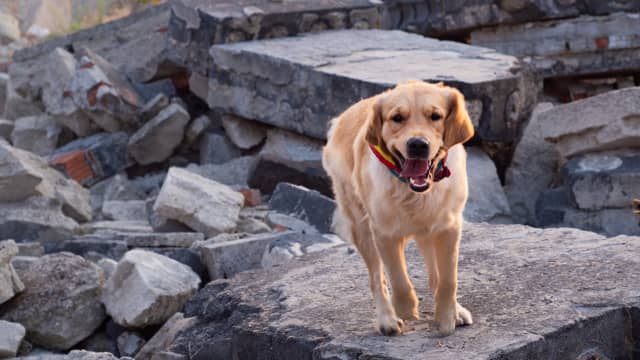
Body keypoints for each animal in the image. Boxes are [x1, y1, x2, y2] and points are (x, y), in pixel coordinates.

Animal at [322, 80, 472, 336]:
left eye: (436, 116)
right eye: (397, 118)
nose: (418, 144)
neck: (413, 192)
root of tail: (340, 119)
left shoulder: (449, 226)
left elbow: (448, 279)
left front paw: (447, 316)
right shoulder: (383, 232)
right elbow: (397, 278)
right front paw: (405, 308)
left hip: (428, 231)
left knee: (435, 274)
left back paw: (457, 309)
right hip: (361, 227)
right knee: (376, 278)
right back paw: (387, 320)